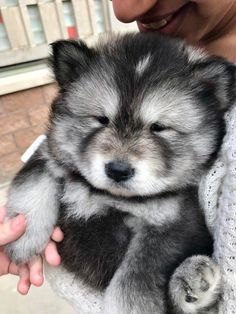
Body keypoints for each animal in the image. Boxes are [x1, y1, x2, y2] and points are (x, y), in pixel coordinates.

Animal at [6, 32, 236, 314]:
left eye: (159, 128)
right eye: (101, 119)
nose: (117, 170)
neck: (107, 196)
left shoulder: (171, 224)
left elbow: (132, 282)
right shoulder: (49, 154)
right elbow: (32, 183)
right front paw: (24, 238)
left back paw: (192, 281)